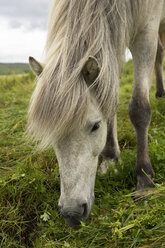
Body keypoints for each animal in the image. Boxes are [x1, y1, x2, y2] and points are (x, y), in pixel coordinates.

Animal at [28, 0, 165, 227]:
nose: (72, 213)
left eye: (95, 126)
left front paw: (145, 179)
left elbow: (139, 108)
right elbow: (110, 100)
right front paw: (110, 159)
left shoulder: (146, 31)